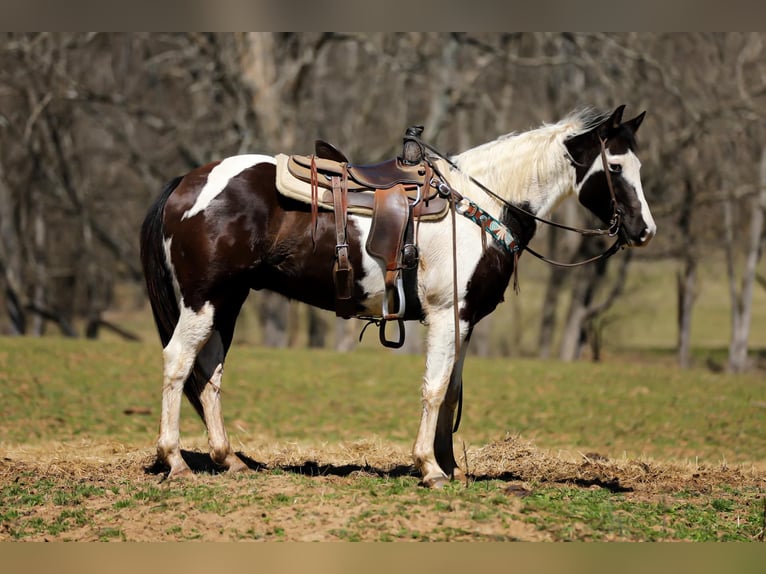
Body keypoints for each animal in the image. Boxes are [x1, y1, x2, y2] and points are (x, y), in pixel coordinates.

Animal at [141, 106, 656, 488]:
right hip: (202, 301)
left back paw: (228, 459)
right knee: (177, 363)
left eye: (638, 166)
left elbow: (452, 391)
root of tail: (186, 183)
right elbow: (434, 389)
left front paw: (450, 466)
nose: (644, 231)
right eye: (614, 167)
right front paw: (429, 468)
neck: (480, 205)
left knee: (209, 373)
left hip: (227, 302)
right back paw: (176, 461)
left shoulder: (464, 320)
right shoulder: (446, 316)